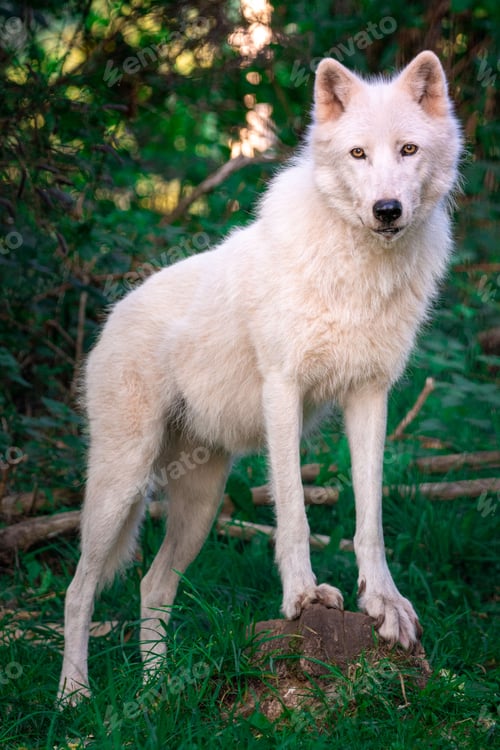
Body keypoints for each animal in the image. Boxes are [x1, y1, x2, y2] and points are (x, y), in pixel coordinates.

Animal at [58, 50, 461, 703]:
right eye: (357, 154)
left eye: (407, 150)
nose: (387, 211)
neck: (357, 269)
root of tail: (109, 319)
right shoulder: (283, 389)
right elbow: (293, 510)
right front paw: (303, 596)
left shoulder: (371, 395)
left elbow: (369, 518)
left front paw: (385, 604)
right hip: (121, 485)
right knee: (79, 589)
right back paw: (74, 697)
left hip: (200, 504)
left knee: (152, 586)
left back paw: (156, 694)